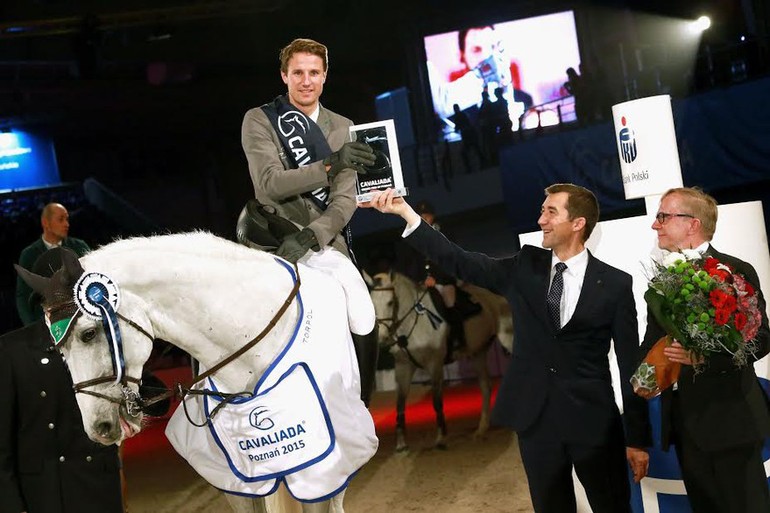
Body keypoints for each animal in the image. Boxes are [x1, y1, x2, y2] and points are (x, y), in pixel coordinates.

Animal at [364, 270, 510, 450]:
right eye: (371, 303)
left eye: (390, 302)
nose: (382, 339)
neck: (414, 322)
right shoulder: (403, 367)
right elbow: (400, 404)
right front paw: (401, 444)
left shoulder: (435, 365)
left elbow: (437, 401)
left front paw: (441, 438)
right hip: (478, 353)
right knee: (485, 387)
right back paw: (481, 429)